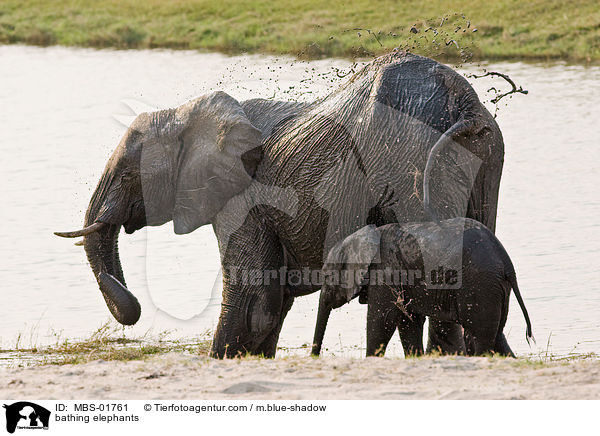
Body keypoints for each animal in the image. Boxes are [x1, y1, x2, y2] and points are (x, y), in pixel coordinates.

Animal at [57, 51, 506, 358]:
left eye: (129, 175)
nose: (132, 310)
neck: (190, 114)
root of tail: (463, 103)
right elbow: (273, 303)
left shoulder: (243, 200)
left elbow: (253, 299)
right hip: (484, 160)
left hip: (409, 159)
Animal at [312, 218, 532, 358]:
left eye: (327, 276)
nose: (314, 357)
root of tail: (506, 263)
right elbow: (408, 321)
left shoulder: (386, 271)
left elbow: (382, 319)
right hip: (495, 287)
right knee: (497, 336)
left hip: (480, 284)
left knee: (481, 336)